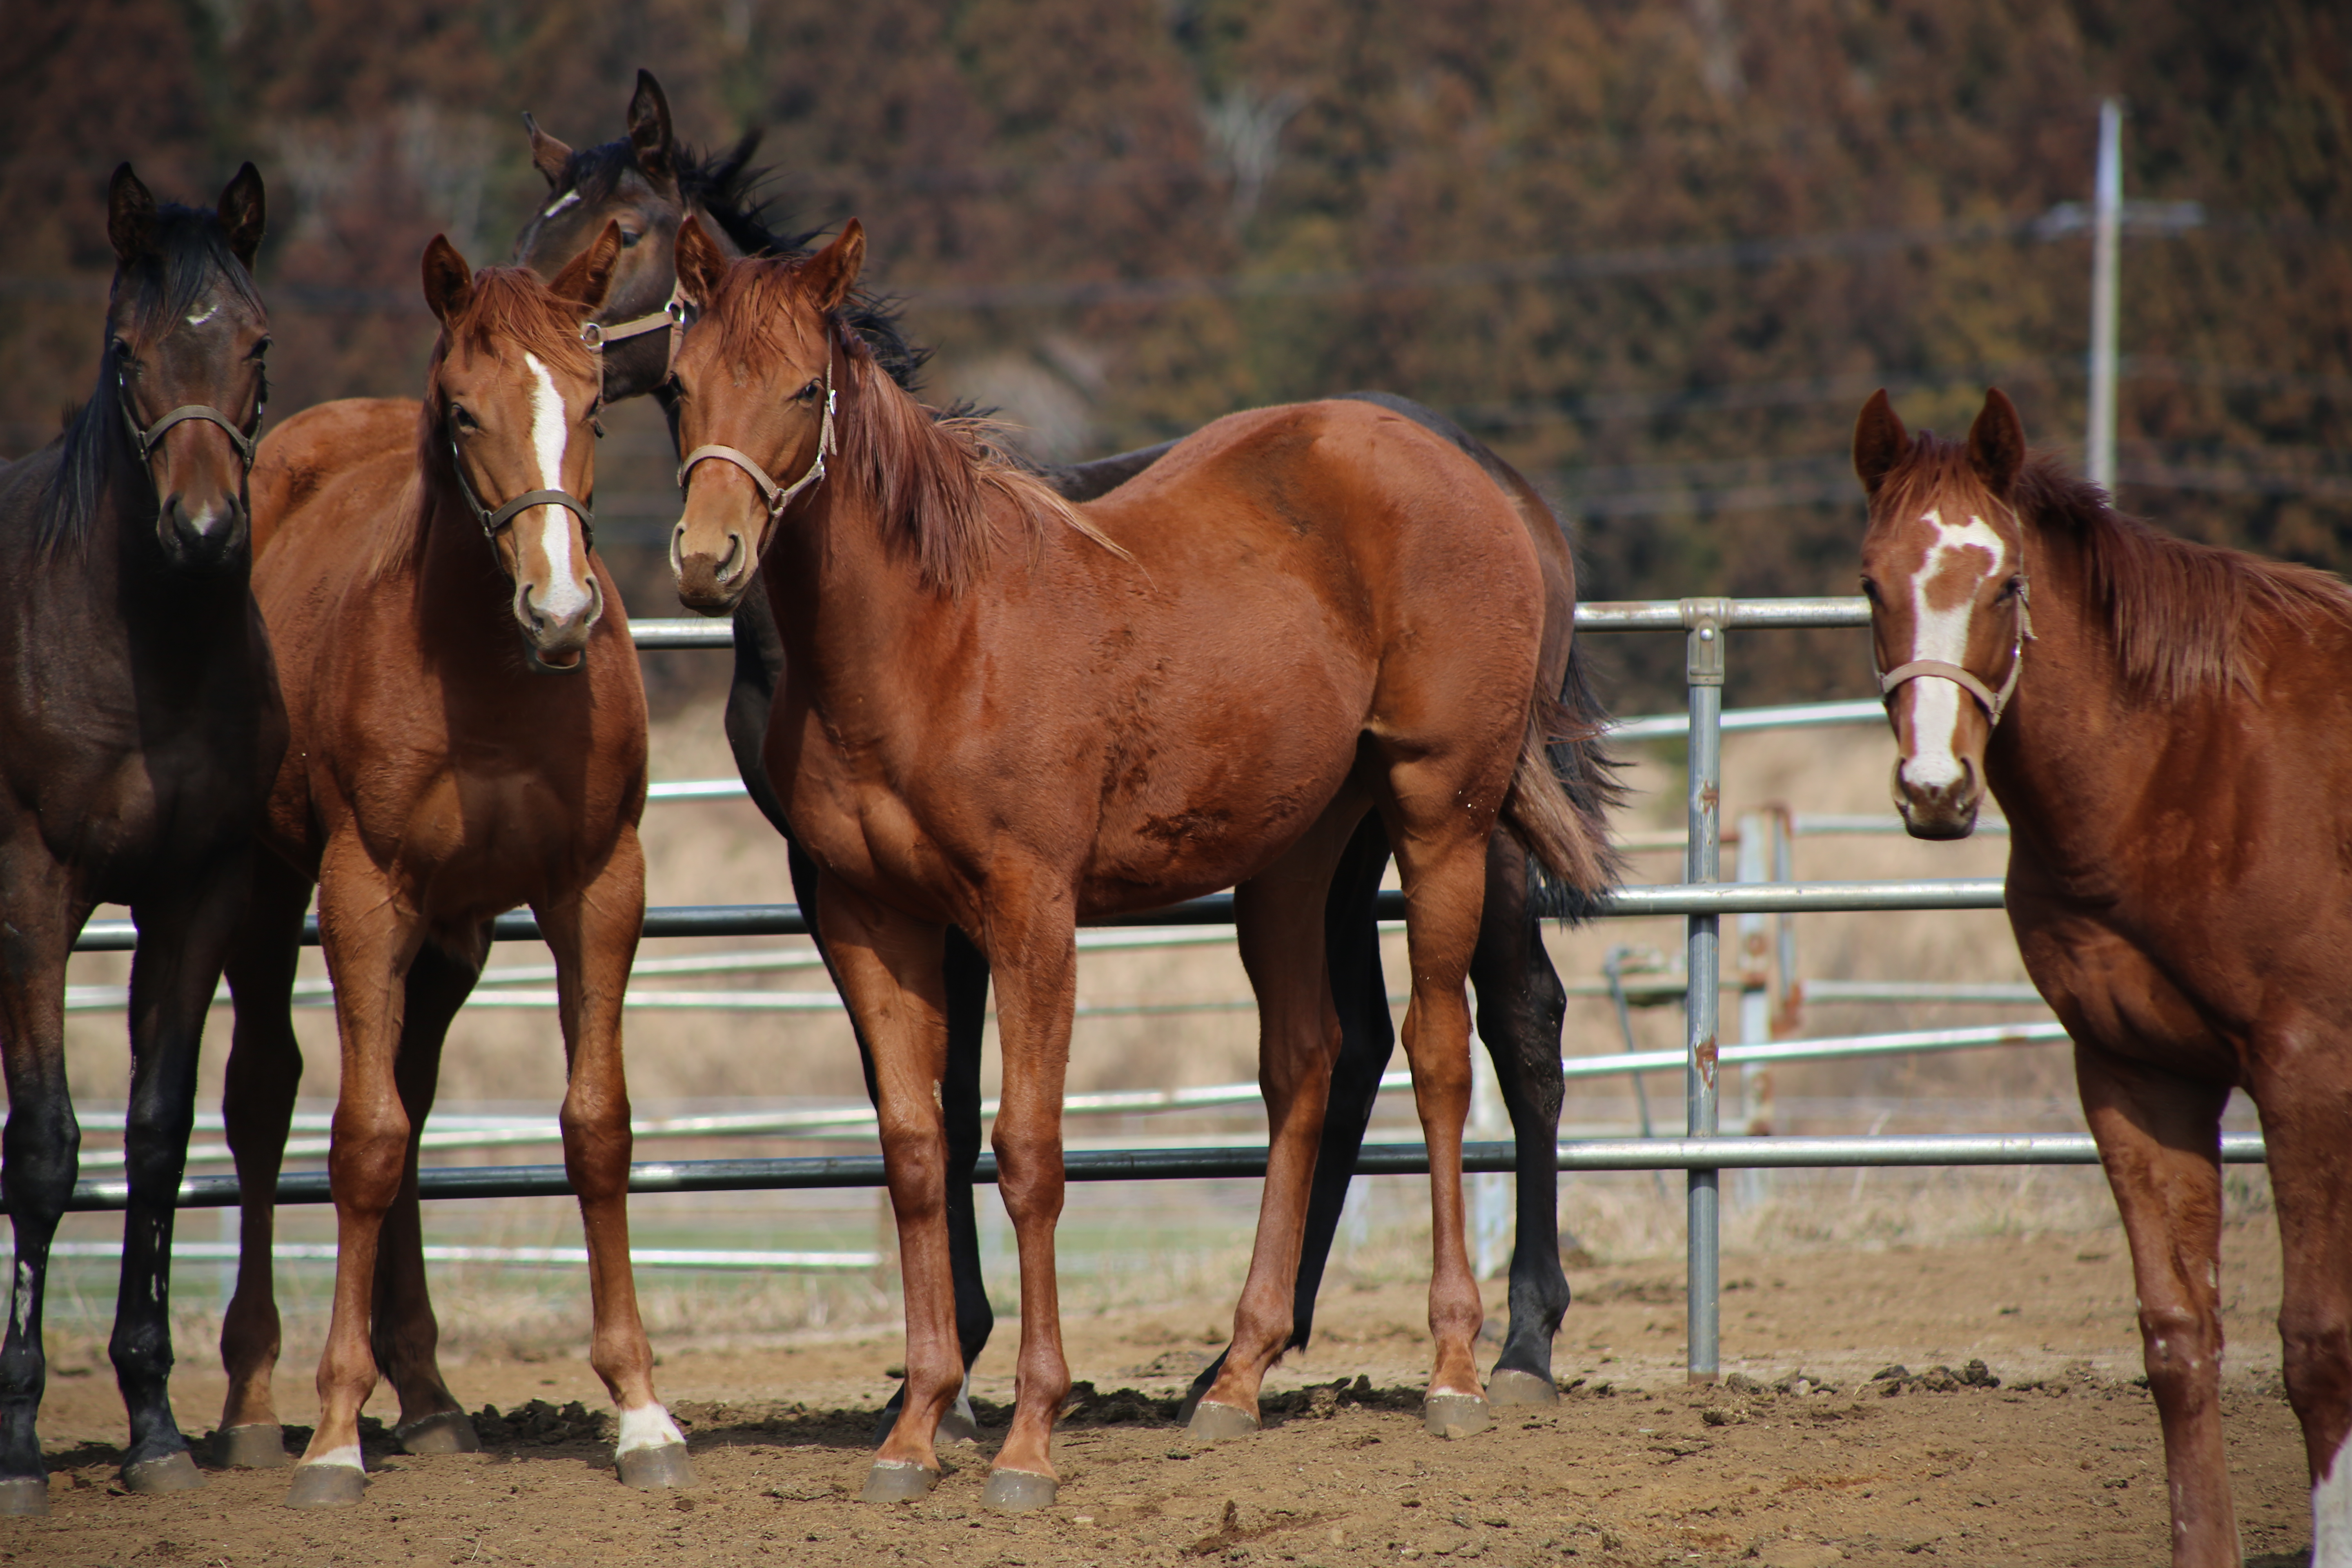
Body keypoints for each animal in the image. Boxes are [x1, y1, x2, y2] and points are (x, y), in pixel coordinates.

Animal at [215, 230, 691, 1504]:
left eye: (593, 405)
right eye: (465, 412)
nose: (562, 609)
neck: (490, 671)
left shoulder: (598, 884)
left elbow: (596, 1124)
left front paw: (641, 1410)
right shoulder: (363, 892)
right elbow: (359, 1142)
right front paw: (335, 1430)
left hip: (453, 936)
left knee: (416, 1102)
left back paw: (427, 1395)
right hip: (265, 896)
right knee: (265, 1102)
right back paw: (252, 1404)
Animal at [515, 76, 1618, 1448]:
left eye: (620, 231)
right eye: (691, 379)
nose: (708, 554)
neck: (934, 627)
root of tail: (1494, 486)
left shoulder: (1022, 902)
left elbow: (1019, 1139)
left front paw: (1001, 1407)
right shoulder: (860, 898)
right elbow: (920, 1129)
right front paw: (930, 1402)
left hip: (1447, 816)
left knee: (1473, 1040)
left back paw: (1490, 1353)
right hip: (1307, 848)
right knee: (1321, 1055)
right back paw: (1239, 1369)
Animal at [1853, 383, 2352, 1568]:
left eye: (2005, 584)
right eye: (1869, 584)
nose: (1934, 792)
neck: (2188, 760)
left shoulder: (2307, 1073)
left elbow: (2316, 1347)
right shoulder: (2135, 1075)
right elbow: (2178, 1341)